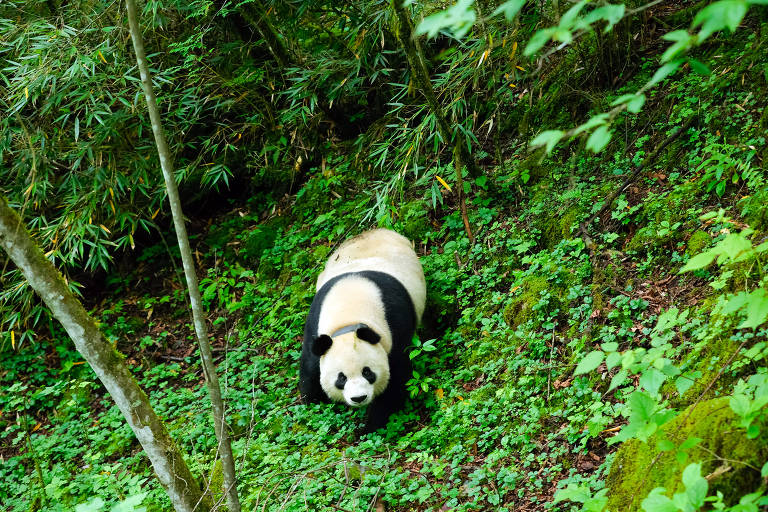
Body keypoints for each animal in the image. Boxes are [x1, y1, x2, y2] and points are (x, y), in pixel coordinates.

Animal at [300, 228, 428, 432]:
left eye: (367, 372)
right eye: (341, 378)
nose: (358, 398)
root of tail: (378, 230)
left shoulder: (394, 327)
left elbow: (396, 378)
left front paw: (368, 428)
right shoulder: (316, 323)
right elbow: (311, 369)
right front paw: (314, 407)